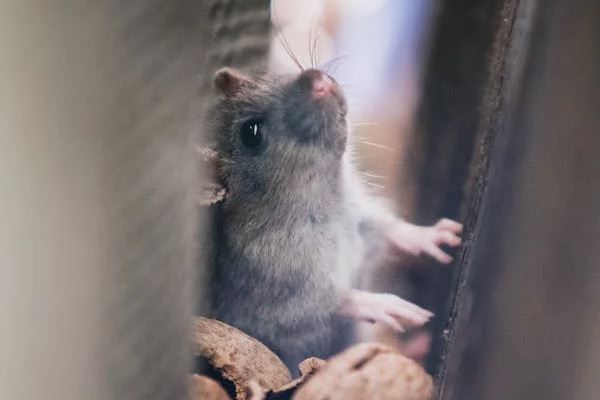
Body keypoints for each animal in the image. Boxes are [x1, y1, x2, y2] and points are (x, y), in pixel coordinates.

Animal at [204, 67, 462, 371]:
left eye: (275, 76)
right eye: (251, 132)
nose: (319, 79)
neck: (328, 200)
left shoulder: (361, 216)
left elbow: (388, 228)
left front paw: (430, 235)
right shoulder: (285, 286)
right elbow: (332, 302)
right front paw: (384, 304)